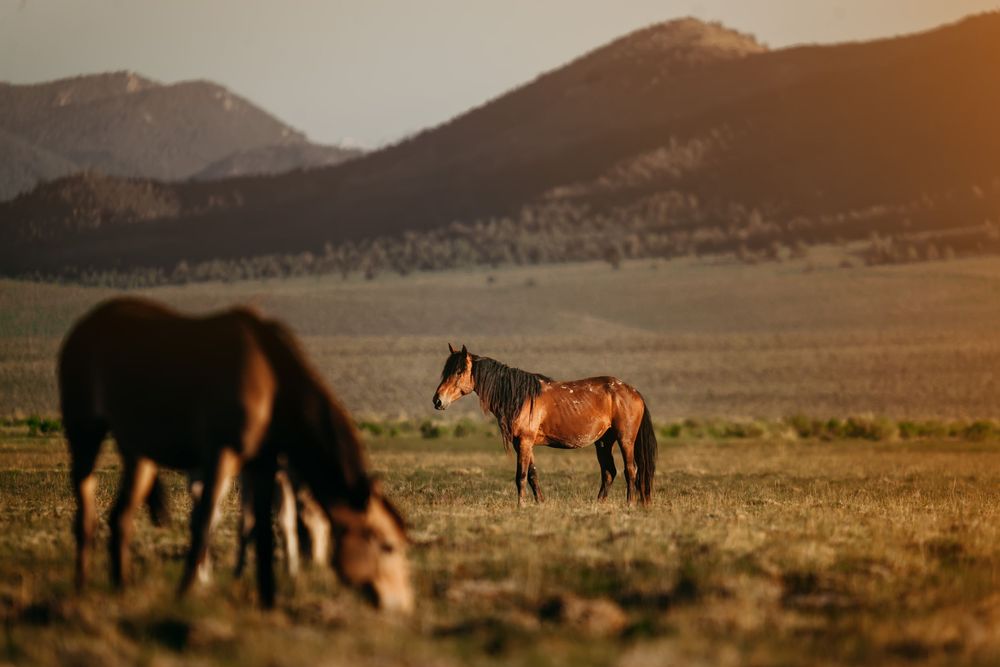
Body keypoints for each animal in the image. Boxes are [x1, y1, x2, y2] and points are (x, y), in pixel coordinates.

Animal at [58, 297, 413, 612]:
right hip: (85, 434)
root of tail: (83, 325)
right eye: (387, 545)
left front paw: (272, 591)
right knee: (89, 514)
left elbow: (270, 527)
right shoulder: (229, 459)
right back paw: (82, 590)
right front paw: (197, 587)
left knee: (122, 516)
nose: (401, 604)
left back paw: (122, 589)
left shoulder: (265, 467)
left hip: (139, 453)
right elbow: (222, 521)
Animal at [432, 345, 657, 506]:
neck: (519, 397)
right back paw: (598, 504)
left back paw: (630, 504)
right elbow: (532, 475)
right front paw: (540, 503)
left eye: (459, 371)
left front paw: (520, 506)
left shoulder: (524, 442)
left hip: (625, 439)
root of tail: (633, 391)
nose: (437, 400)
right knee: (609, 472)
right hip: (603, 442)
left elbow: (521, 476)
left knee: (631, 470)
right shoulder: (523, 444)